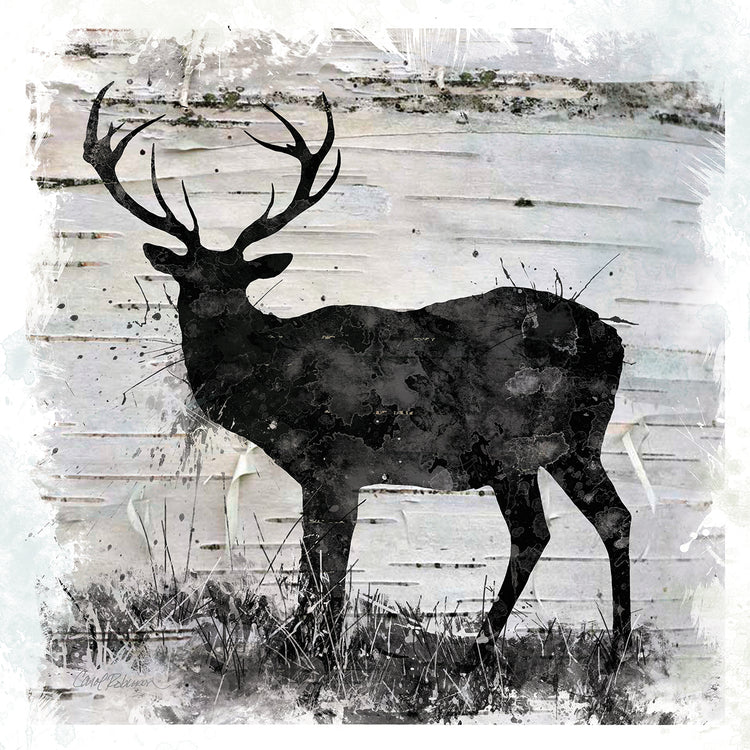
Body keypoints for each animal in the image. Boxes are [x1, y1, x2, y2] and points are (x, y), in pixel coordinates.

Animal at [83, 82, 631, 669]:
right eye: (187, 278)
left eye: (239, 279)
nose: (212, 317)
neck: (276, 384)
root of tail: (614, 340)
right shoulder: (316, 474)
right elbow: (313, 562)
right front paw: (303, 644)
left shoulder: (337, 465)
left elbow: (329, 570)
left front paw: (320, 650)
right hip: (554, 450)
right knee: (581, 524)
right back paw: (582, 647)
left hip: (529, 445)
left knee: (561, 527)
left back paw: (516, 647)